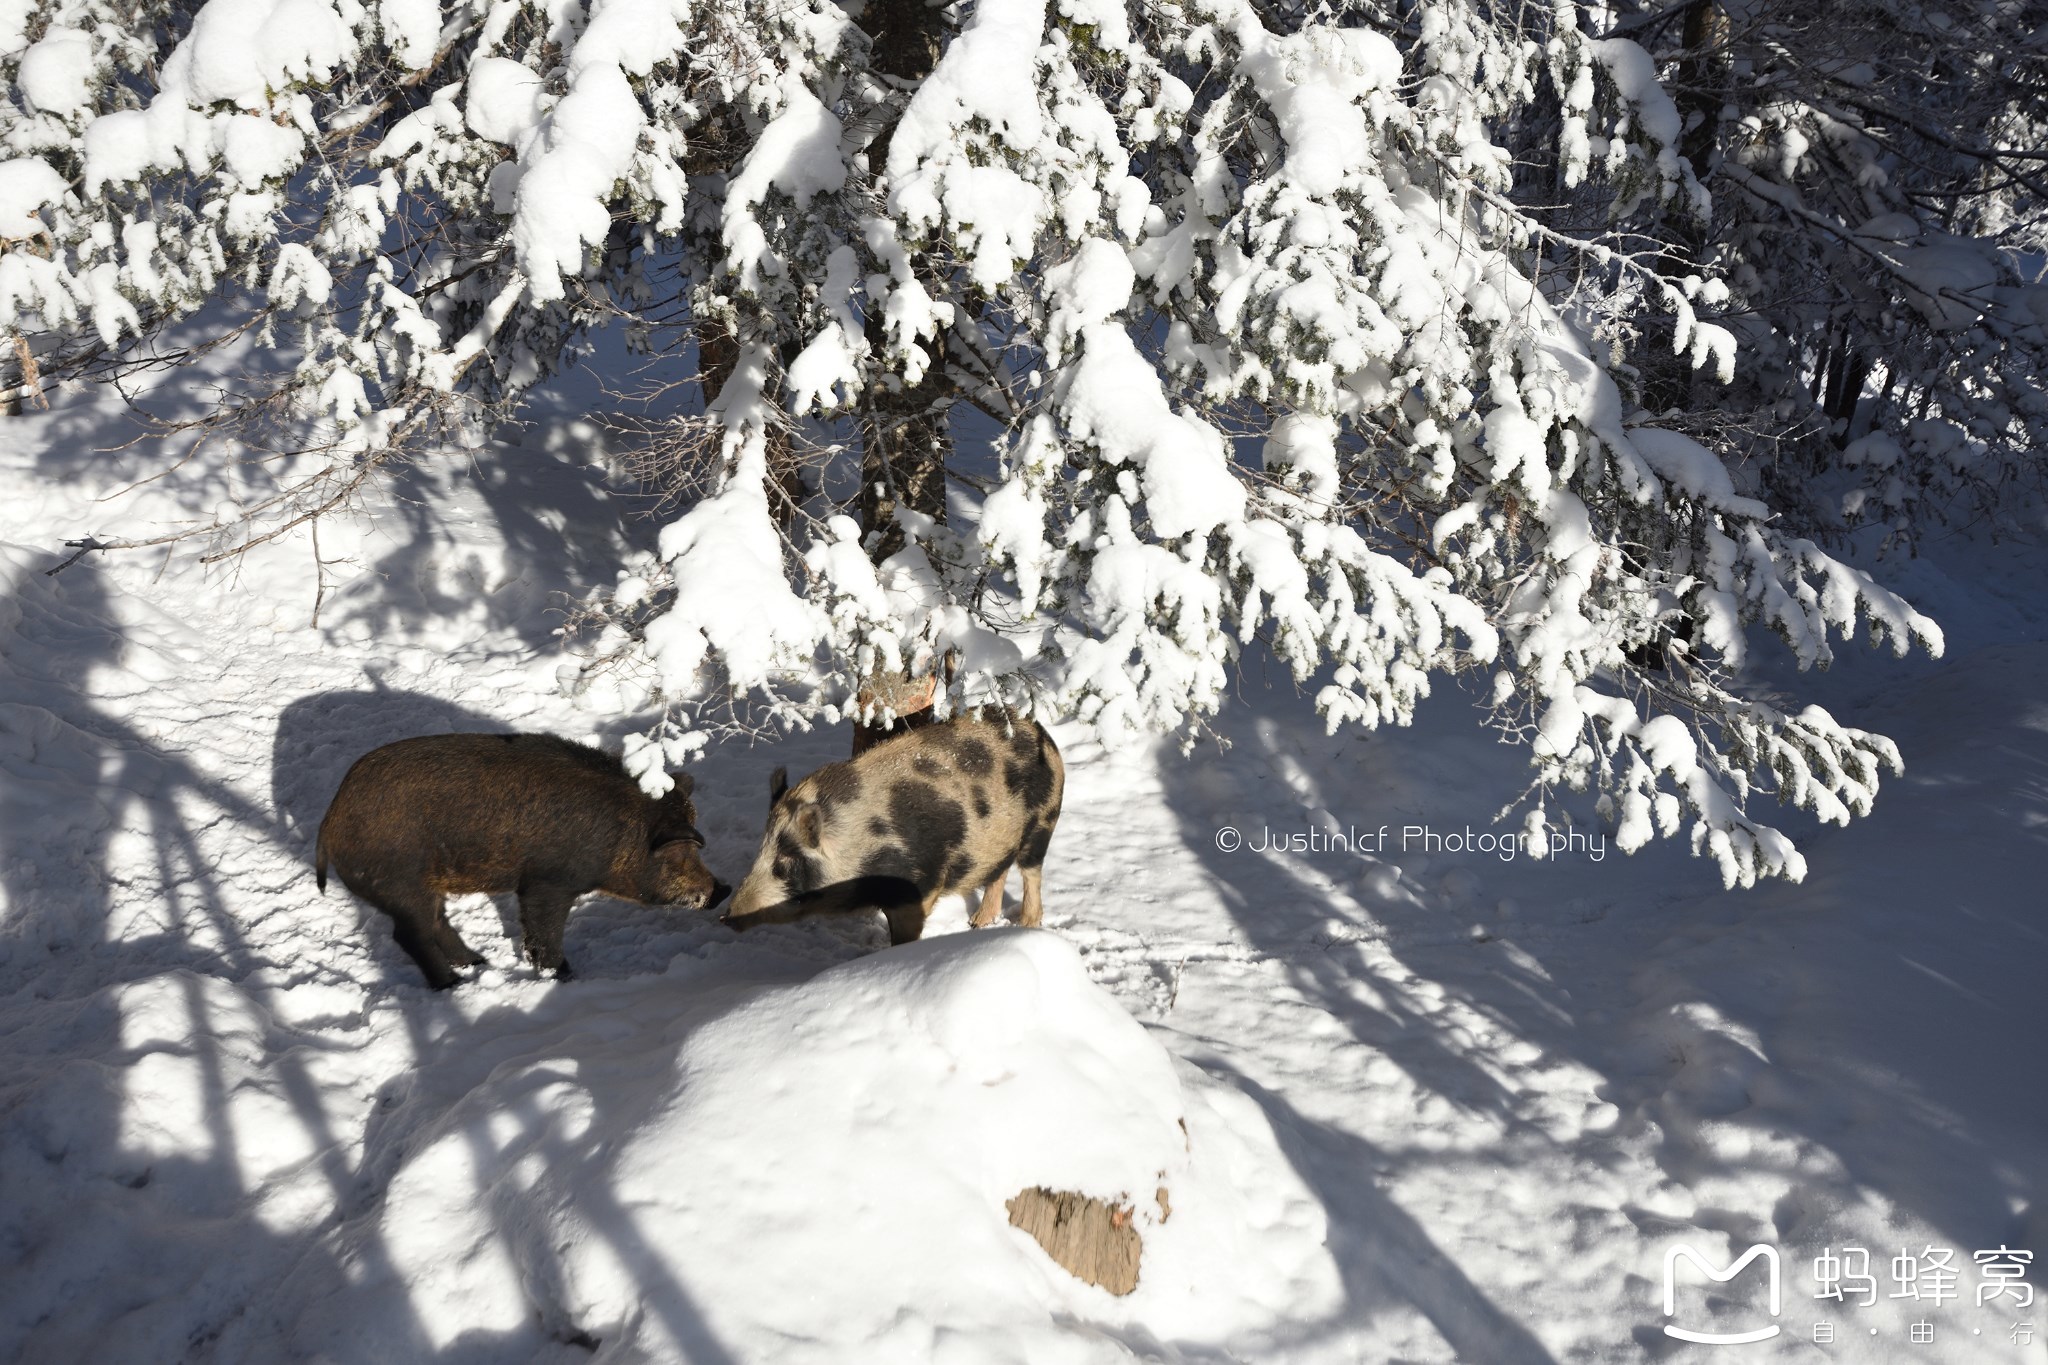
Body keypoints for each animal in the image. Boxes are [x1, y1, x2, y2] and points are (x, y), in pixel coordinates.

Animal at [311, 736, 729, 994]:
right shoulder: (548, 882)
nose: (722, 889)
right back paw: (453, 986)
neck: (621, 834)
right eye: (678, 852)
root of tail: (330, 819)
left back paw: (478, 964)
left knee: (436, 922)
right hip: (401, 885)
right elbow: (545, 931)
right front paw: (564, 977)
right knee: (411, 934)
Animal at [720, 712, 1064, 945]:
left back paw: (1027, 926)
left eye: (784, 863)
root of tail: (1041, 732)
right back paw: (977, 924)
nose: (726, 916)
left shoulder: (920, 886)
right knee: (998, 872)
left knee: (1031, 872)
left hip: (1044, 821)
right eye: (760, 851)